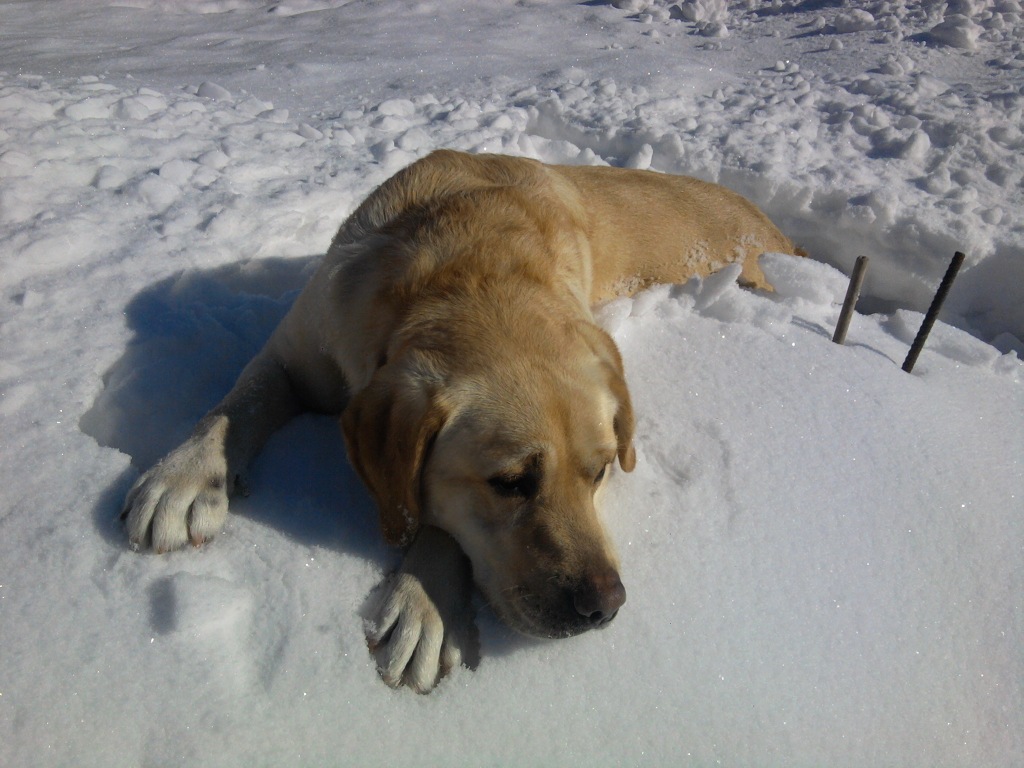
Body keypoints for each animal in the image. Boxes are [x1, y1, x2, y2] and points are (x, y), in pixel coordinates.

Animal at [122, 149, 797, 692]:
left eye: (601, 472)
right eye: (510, 482)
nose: (605, 607)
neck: (467, 263)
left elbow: (438, 519)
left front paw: (425, 604)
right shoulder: (297, 350)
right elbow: (236, 403)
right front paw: (182, 478)